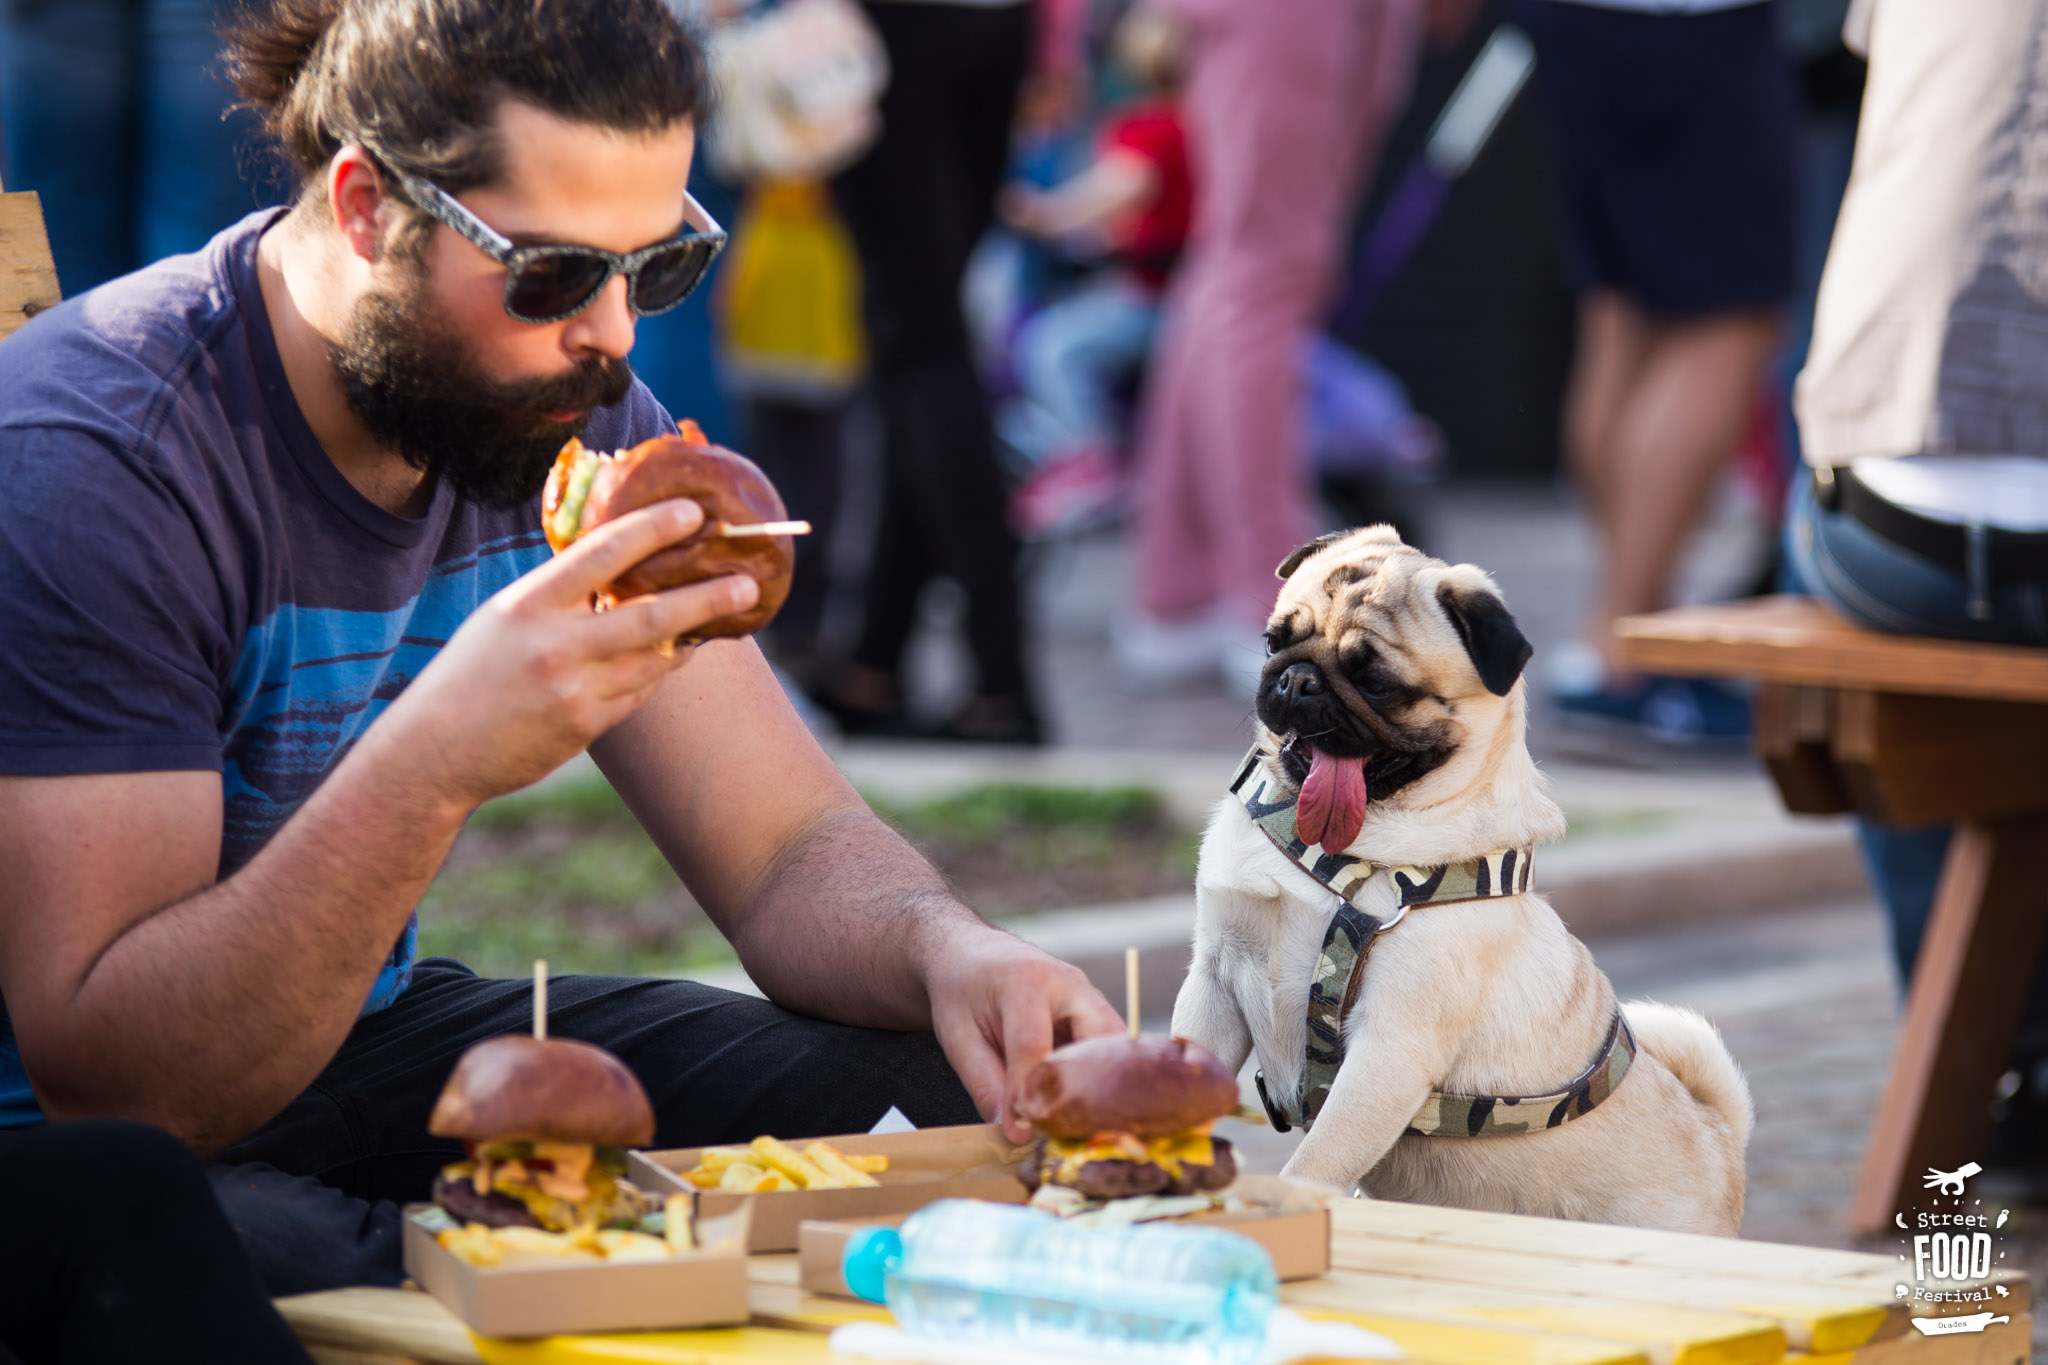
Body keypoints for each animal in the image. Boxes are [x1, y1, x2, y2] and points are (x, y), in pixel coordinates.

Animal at [1179, 532, 1753, 1236]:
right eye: (1272, 641)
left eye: (1377, 683)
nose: (1297, 678)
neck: (1340, 854)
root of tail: (1718, 1138)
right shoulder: (1213, 981)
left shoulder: (1389, 1049)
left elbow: (1316, 1162)